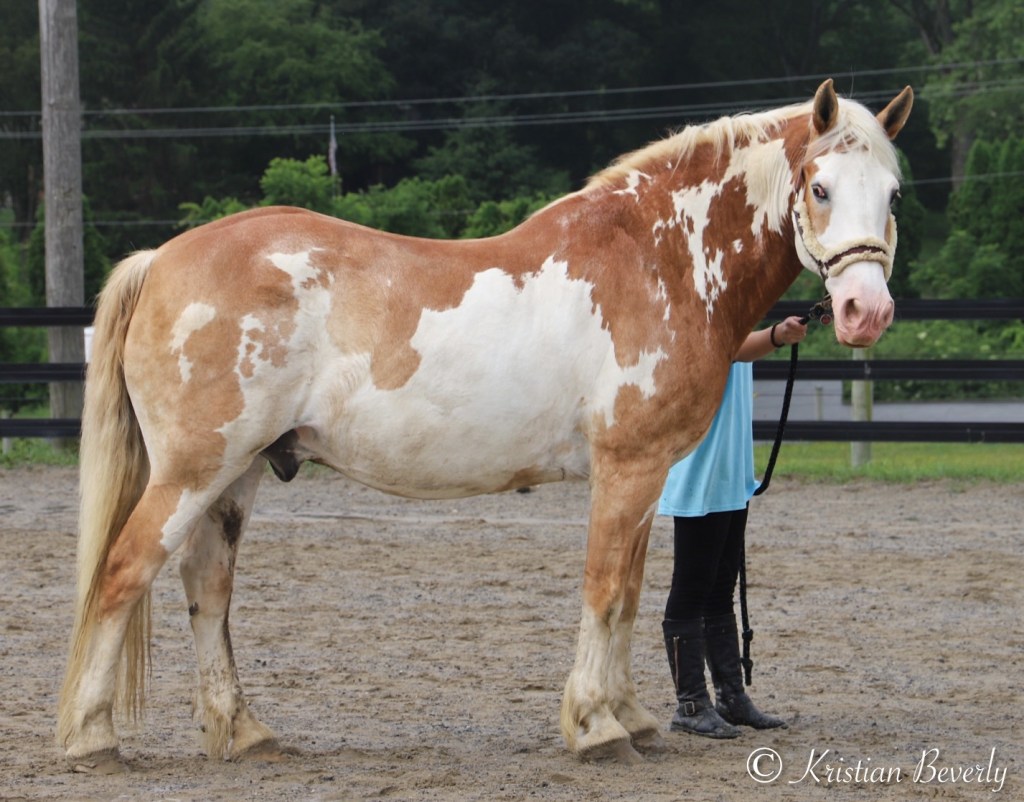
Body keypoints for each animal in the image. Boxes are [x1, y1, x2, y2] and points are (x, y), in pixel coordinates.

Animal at [57, 79, 912, 772]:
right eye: (820, 186)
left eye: (895, 194)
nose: (864, 311)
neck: (659, 258)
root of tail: (160, 259)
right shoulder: (628, 467)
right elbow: (606, 589)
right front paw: (597, 729)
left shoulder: (644, 476)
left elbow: (631, 595)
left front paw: (631, 718)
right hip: (192, 471)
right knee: (123, 573)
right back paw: (92, 739)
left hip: (236, 475)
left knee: (207, 589)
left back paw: (243, 733)